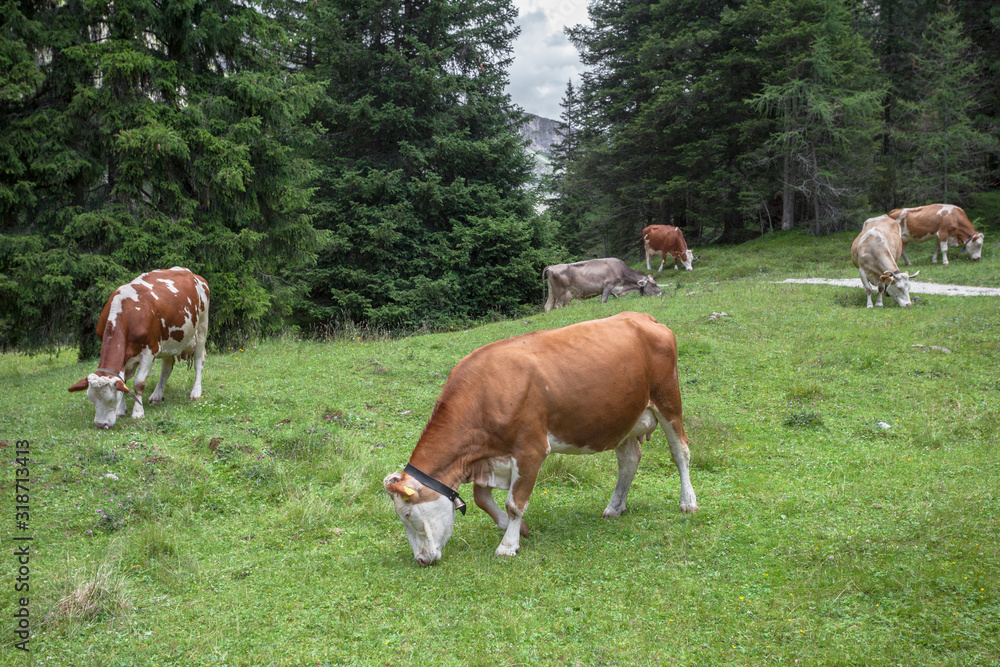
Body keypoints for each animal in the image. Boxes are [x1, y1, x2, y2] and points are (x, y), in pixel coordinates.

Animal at [71, 268, 213, 428]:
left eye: (111, 399)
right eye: (92, 399)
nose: (101, 424)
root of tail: (192, 274)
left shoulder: (149, 351)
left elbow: (139, 383)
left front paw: (138, 412)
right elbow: (123, 383)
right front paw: (121, 410)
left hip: (201, 328)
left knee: (199, 362)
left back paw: (196, 392)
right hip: (168, 342)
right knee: (166, 368)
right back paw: (157, 395)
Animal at [380, 312, 696, 564]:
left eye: (406, 515)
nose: (421, 560)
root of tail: (642, 316)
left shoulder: (530, 450)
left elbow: (514, 503)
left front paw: (508, 545)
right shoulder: (489, 457)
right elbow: (482, 498)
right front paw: (517, 529)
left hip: (668, 399)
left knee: (680, 450)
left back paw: (688, 501)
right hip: (623, 417)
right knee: (629, 461)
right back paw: (614, 507)